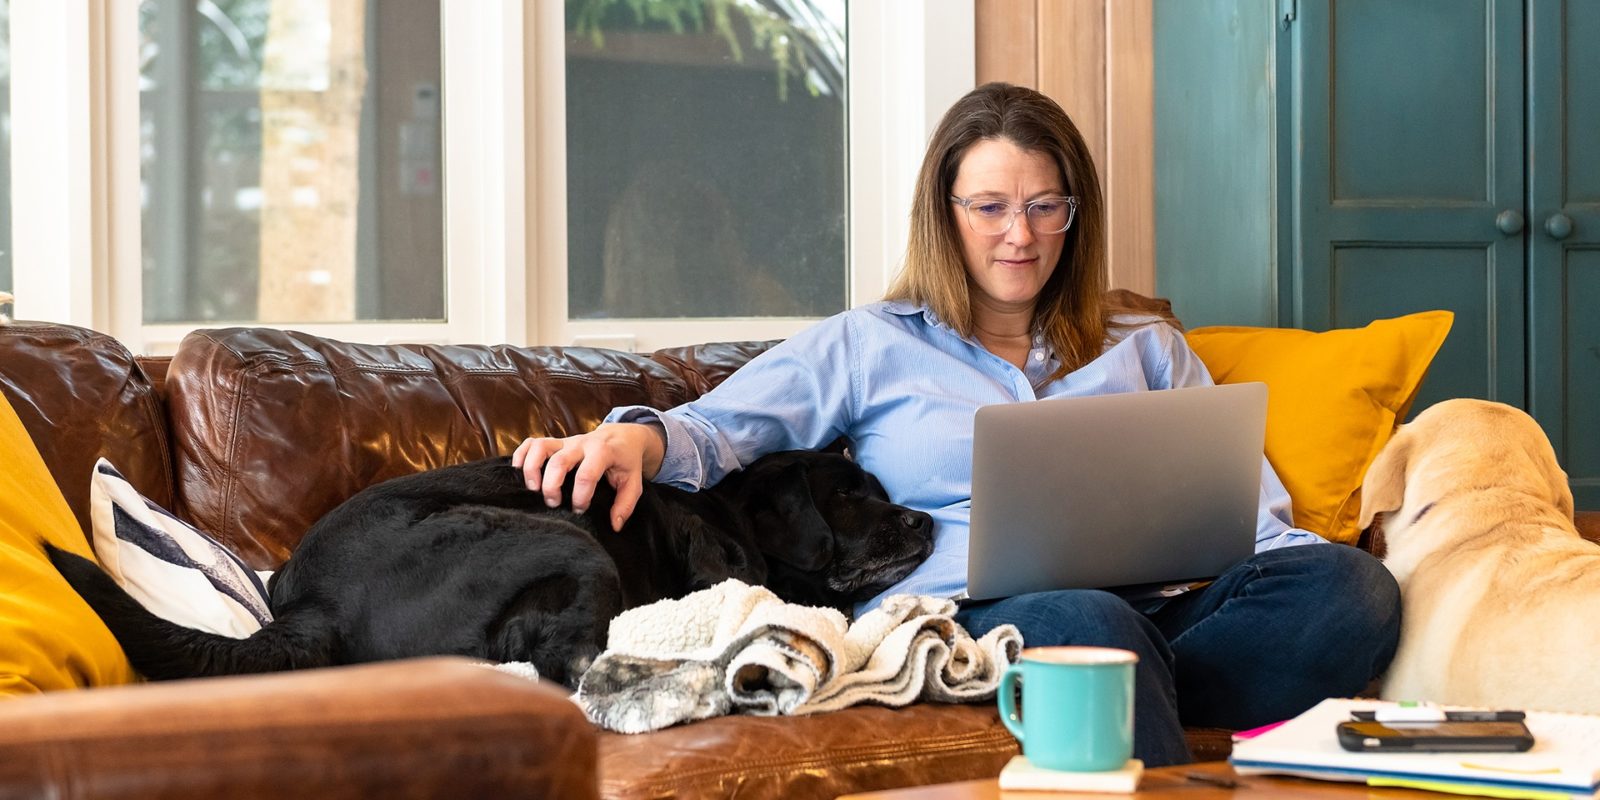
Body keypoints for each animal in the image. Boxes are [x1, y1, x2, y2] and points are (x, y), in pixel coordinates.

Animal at [53, 451, 934, 688]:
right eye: (849, 494)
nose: (924, 519)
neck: (731, 521)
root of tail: (309, 606)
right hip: (561, 536)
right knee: (559, 657)